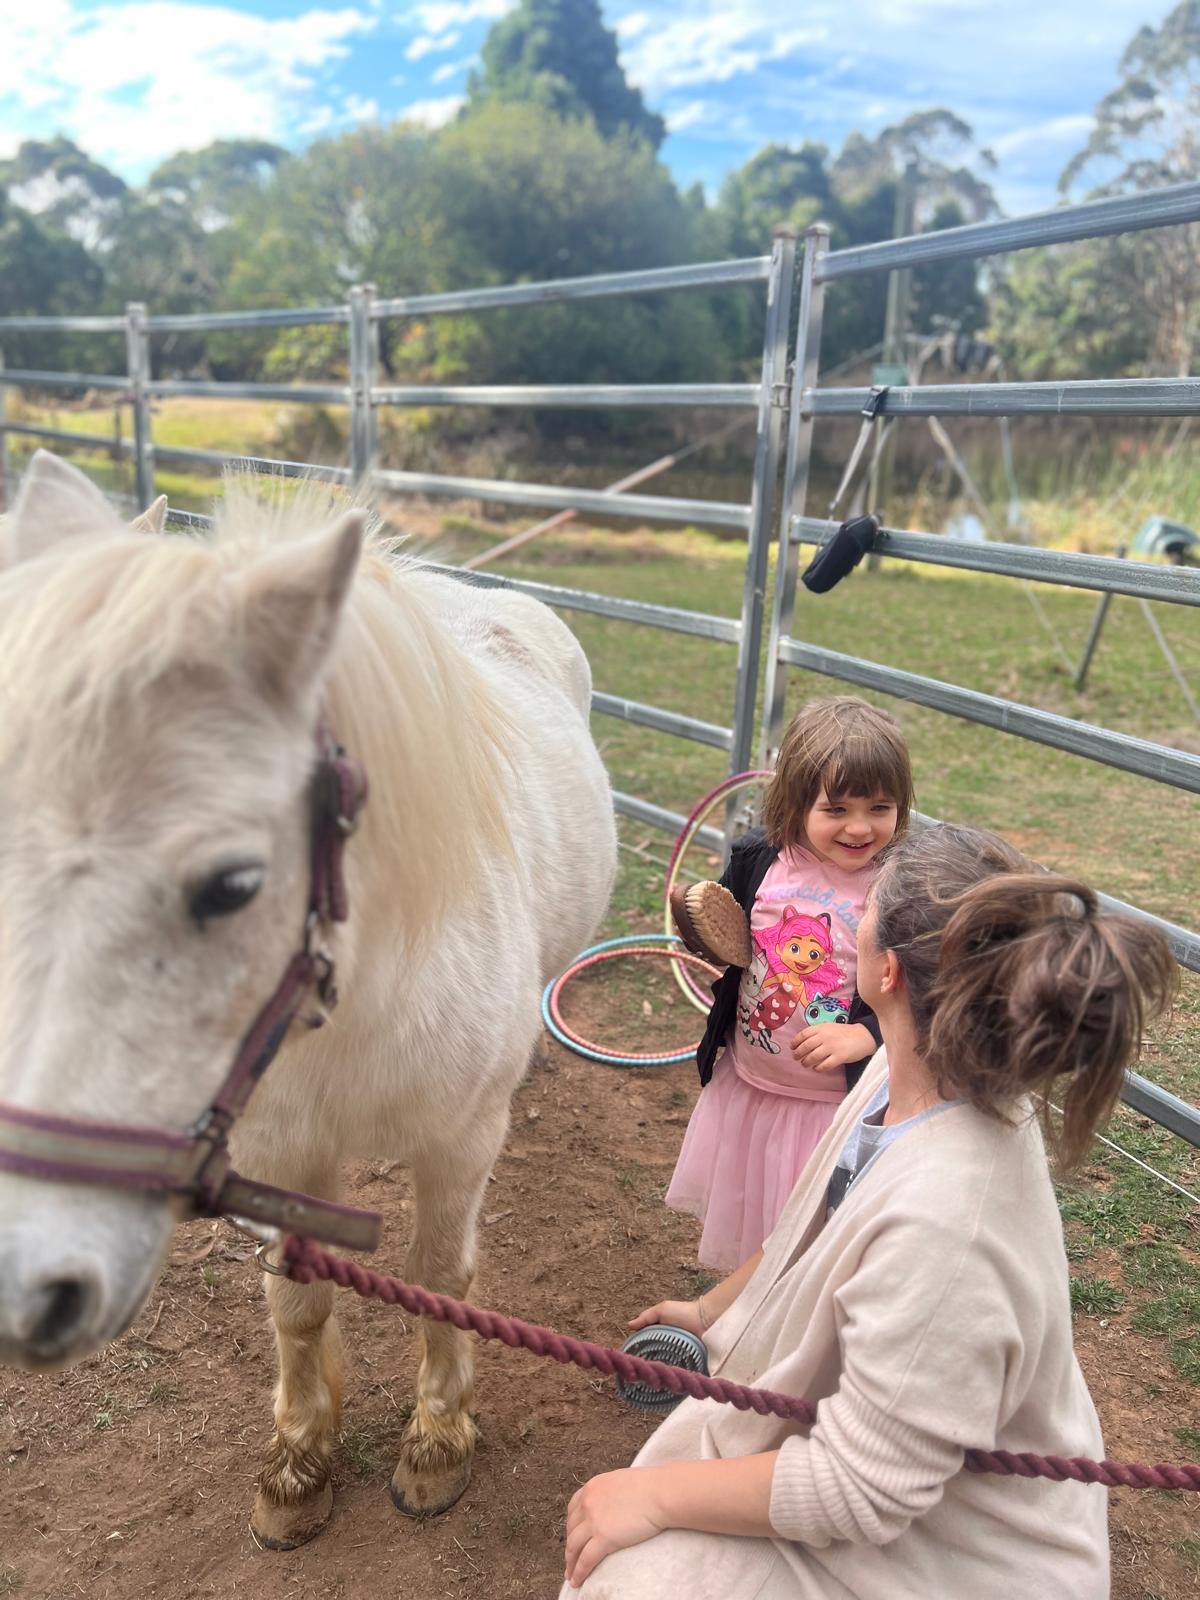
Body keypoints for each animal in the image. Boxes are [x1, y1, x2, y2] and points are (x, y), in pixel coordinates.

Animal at [0, 450, 617, 1548]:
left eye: (233, 883)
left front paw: (436, 1443)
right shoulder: (280, 1149)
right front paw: (297, 1461)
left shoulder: (458, 1144)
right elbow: (294, 1301)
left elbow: (443, 1277)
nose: (32, 1284)